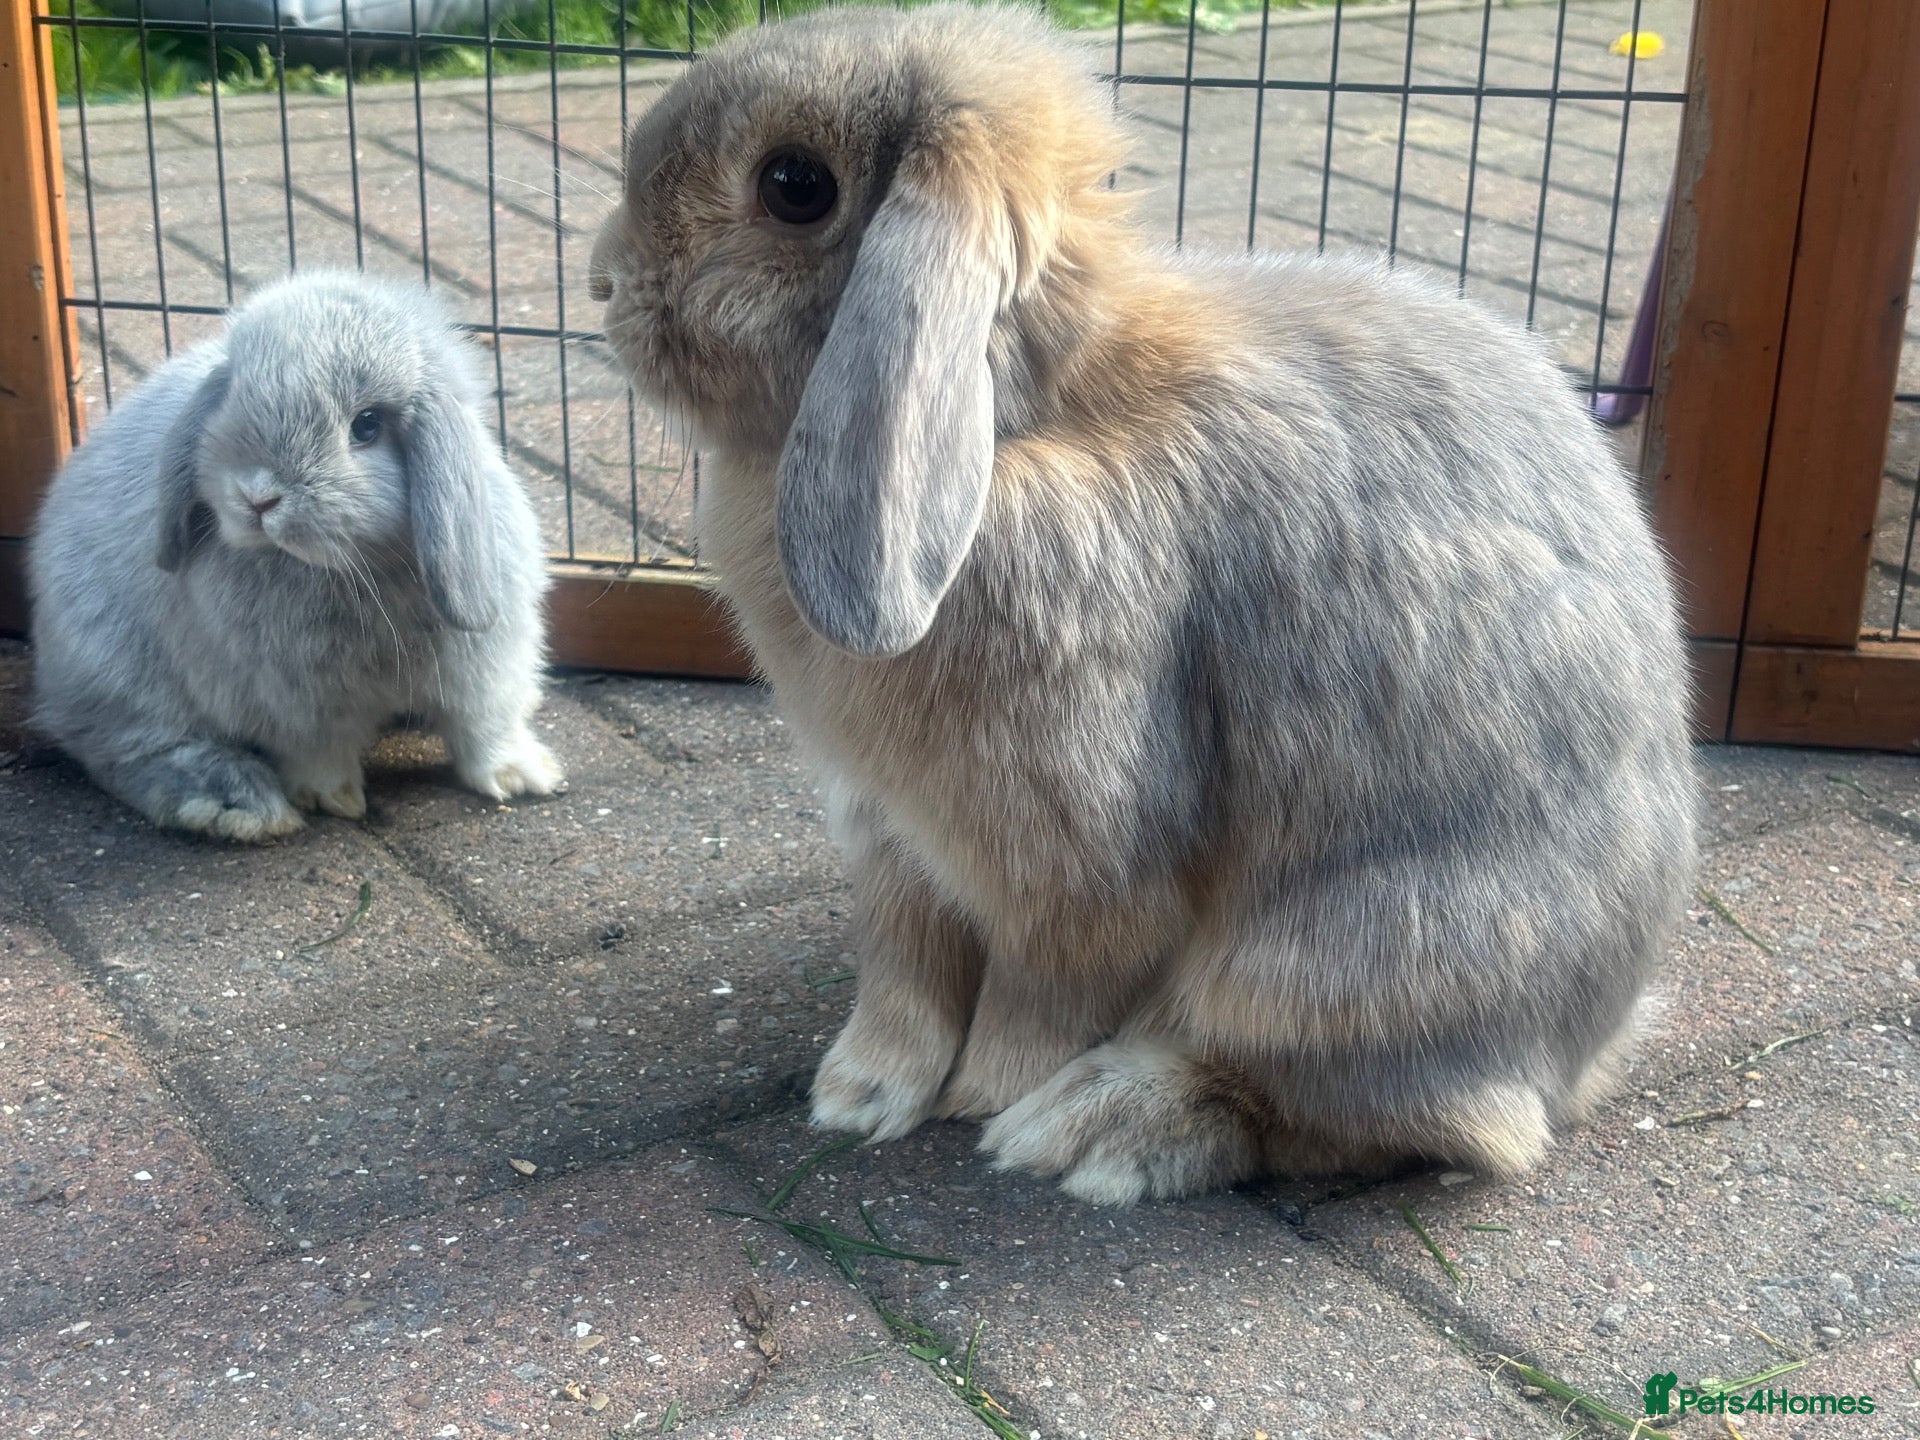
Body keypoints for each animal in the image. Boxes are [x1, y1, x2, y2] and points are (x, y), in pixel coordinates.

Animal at [27, 270, 565, 842]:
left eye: (367, 424)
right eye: (232, 397)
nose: (258, 496)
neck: (359, 569)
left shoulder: (485, 665)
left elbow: (484, 726)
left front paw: (524, 778)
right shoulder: (296, 697)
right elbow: (318, 750)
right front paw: (333, 799)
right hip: (118, 670)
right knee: (131, 747)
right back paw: (235, 804)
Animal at [587, 3, 1698, 1204]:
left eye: (794, 185)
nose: (602, 281)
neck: (1016, 422)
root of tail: (1583, 1050)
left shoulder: (1078, 860)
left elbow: (1044, 993)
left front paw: (986, 1100)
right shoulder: (892, 841)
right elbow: (904, 969)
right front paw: (861, 1097)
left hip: (1336, 967)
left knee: (1361, 1117)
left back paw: (1098, 1128)